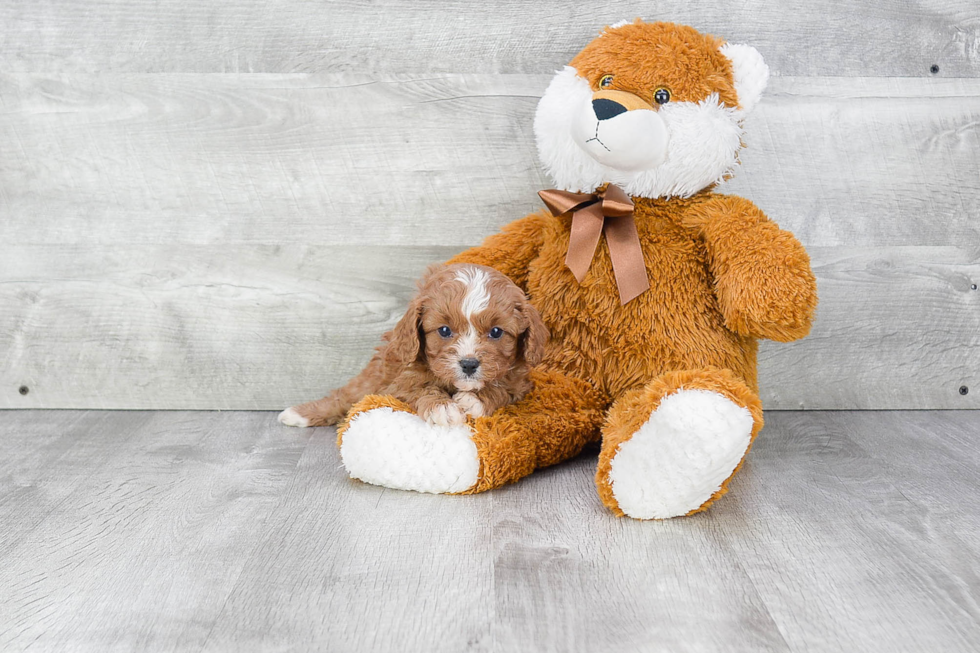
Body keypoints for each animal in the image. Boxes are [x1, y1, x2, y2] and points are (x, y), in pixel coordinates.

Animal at [280, 262, 548, 426]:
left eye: (496, 332)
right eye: (444, 330)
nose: (469, 364)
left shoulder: (520, 383)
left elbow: (504, 389)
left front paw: (475, 399)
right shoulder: (397, 381)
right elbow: (419, 388)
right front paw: (442, 408)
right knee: (343, 397)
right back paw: (297, 414)